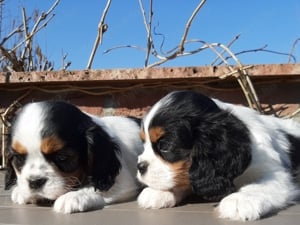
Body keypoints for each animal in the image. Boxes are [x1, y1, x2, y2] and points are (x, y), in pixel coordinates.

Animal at [5, 100, 144, 213]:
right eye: (19, 158)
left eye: (62, 157)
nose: (34, 182)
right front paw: (20, 190)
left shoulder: (121, 181)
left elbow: (98, 188)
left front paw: (73, 196)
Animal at [137, 90, 300, 221]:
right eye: (143, 143)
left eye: (165, 146)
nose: (140, 166)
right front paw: (158, 192)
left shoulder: (277, 173)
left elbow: (260, 185)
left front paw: (241, 200)